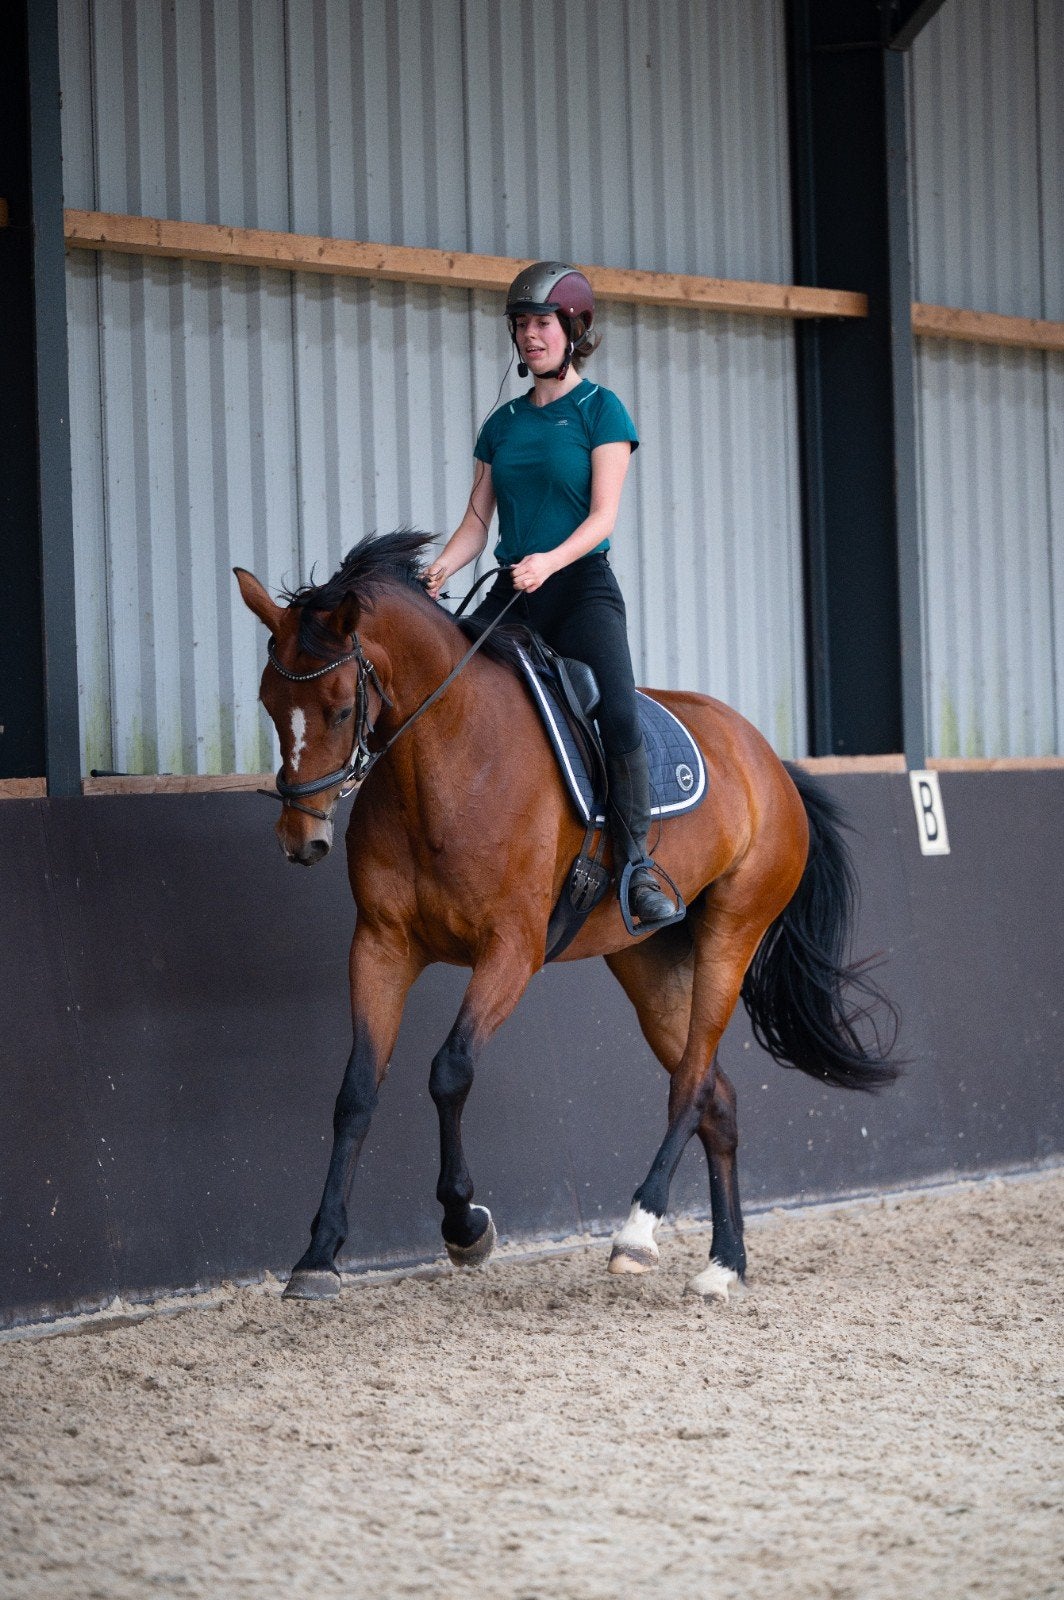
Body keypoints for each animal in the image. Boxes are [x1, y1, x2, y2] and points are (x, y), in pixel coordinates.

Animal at [235, 529, 898, 1302]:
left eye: (341, 708)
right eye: (267, 701)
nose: (301, 840)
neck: (445, 761)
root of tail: (770, 761)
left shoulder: (511, 950)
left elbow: (450, 1071)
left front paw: (465, 1225)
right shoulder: (380, 945)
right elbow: (356, 1092)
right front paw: (319, 1256)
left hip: (733, 933)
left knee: (692, 1083)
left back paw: (638, 1231)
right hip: (649, 961)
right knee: (717, 1095)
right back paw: (722, 1265)